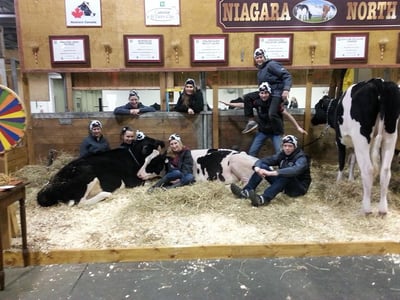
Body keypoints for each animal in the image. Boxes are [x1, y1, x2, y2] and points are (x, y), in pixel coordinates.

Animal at [36, 135, 164, 206]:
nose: (140, 174)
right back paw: (105, 194)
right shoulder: (132, 181)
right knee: (81, 202)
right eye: (152, 162)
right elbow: (146, 182)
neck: (133, 156)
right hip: (87, 176)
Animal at [312, 77, 400, 213]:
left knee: (368, 169)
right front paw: (351, 179)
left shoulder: (340, 140)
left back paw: (366, 208)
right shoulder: (355, 145)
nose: (312, 120)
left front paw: (339, 181)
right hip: (390, 136)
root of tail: (378, 82)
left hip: (362, 138)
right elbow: (352, 161)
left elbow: (342, 161)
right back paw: (383, 209)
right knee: (385, 171)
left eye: (316, 107)